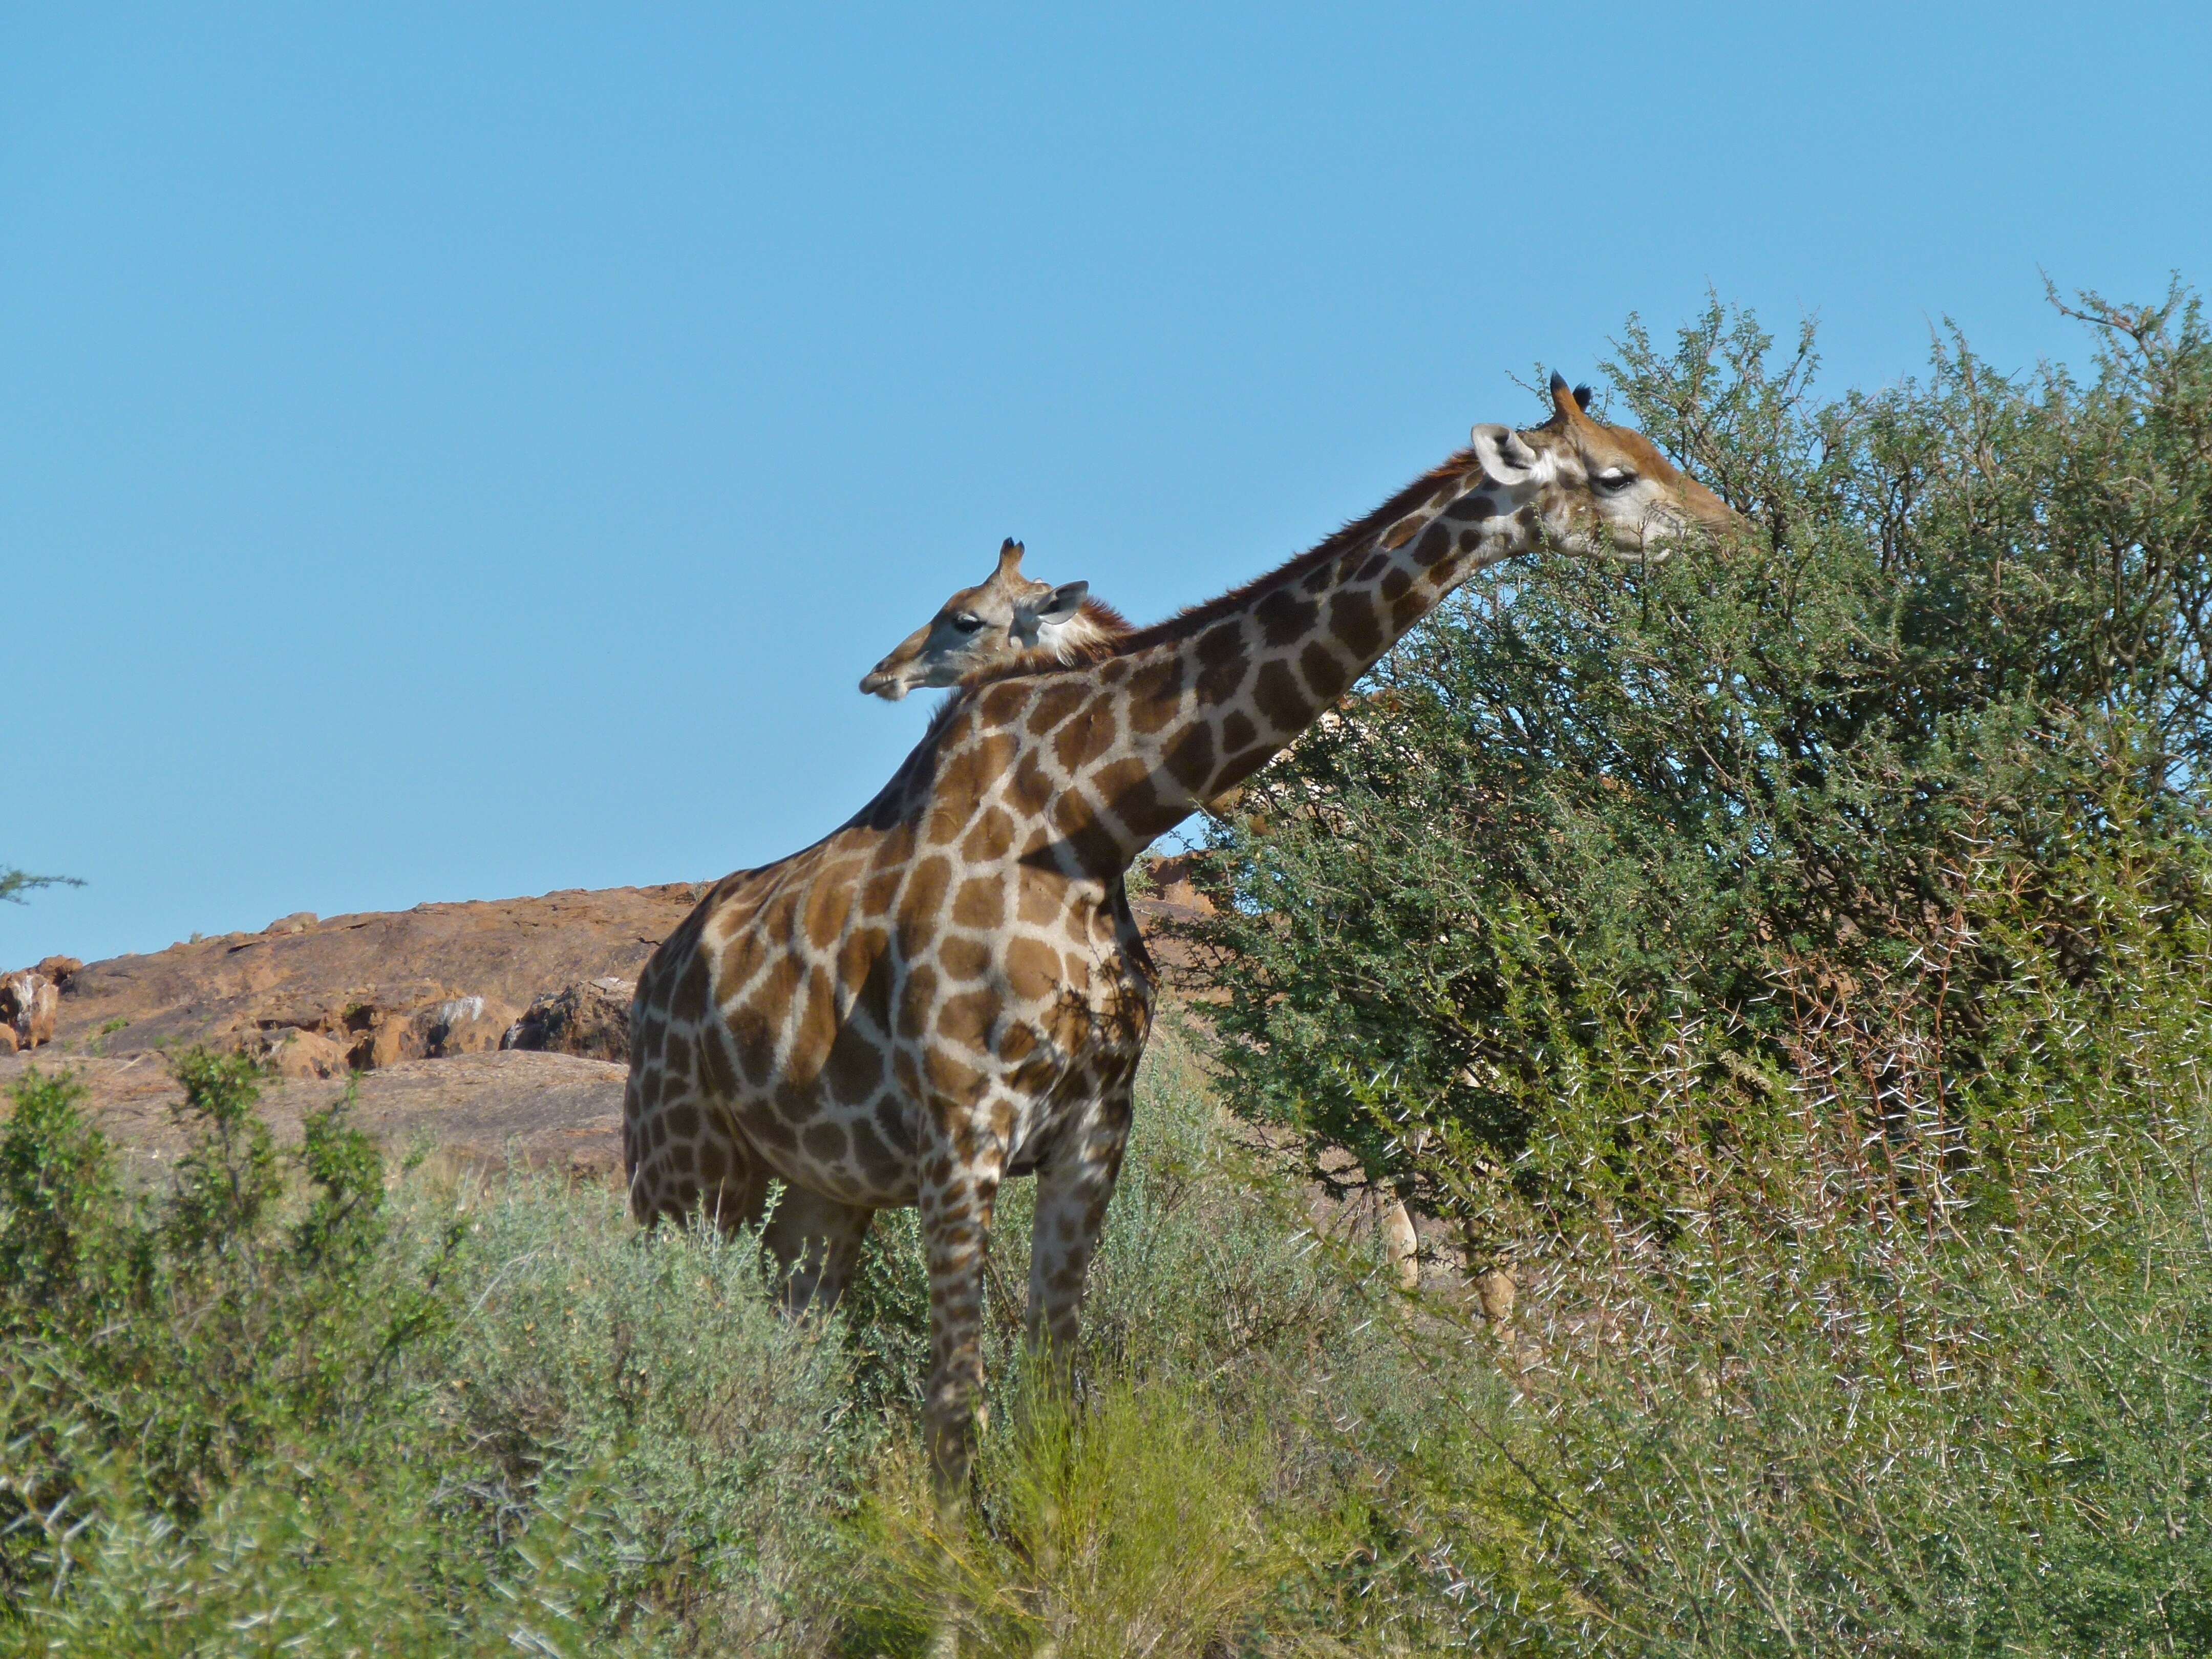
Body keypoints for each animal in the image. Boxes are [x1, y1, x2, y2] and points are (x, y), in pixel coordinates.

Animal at [628, 376, 1743, 1495]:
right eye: (1615, 473)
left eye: (964, 618)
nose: (1737, 533)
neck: (1085, 827)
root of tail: (657, 984)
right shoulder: (966, 1134)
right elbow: (960, 1410)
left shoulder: (1098, 1126)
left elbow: (1053, 1382)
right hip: (689, 1174)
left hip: (815, 1193)